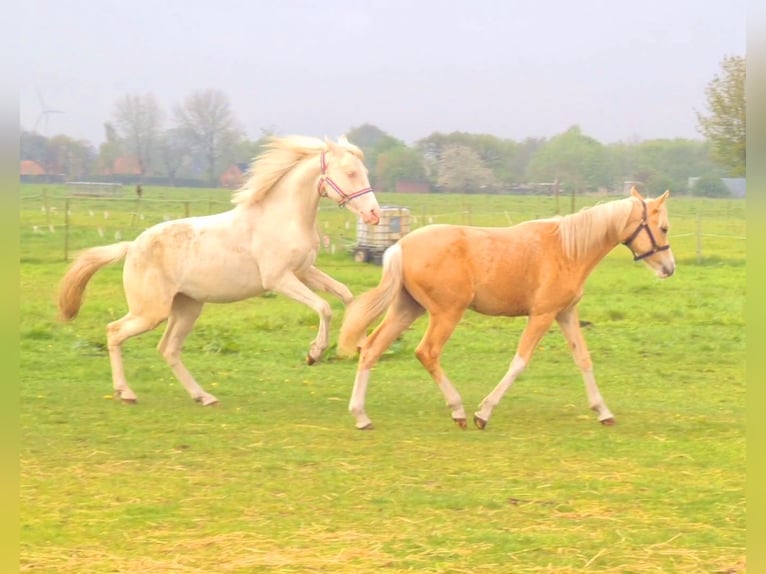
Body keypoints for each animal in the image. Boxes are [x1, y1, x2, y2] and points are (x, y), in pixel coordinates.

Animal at [58, 136, 382, 404]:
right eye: (350, 173)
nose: (374, 214)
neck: (282, 218)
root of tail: (132, 246)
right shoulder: (279, 279)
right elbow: (324, 307)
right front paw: (314, 354)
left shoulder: (304, 272)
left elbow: (346, 295)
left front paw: (360, 343)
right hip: (151, 311)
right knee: (114, 332)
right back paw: (126, 393)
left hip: (187, 308)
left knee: (168, 349)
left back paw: (203, 396)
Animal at [340, 190, 676, 432]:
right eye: (663, 227)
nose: (669, 269)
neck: (568, 249)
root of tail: (400, 246)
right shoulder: (542, 315)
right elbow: (519, 363)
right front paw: (483, 413)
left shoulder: (565, 314)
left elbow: (583, 359)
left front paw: (603, 412)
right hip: (446, 313)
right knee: (427, 352)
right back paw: (458, 410)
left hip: (407, 309)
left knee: (371, 349)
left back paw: (361, 416)